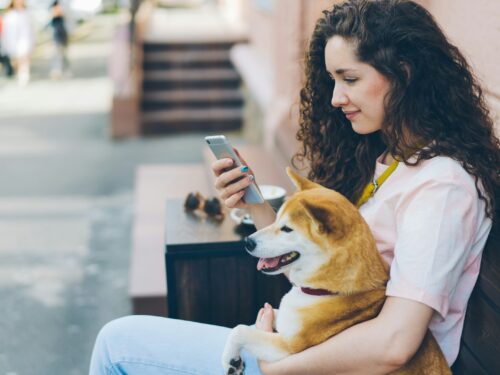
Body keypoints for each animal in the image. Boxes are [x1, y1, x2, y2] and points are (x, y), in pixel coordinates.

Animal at [222, 168, 450, 375]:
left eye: (287, 229)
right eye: (276, 220)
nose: (248, 242)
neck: (325, 291)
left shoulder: (289, 348)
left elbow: (240, 330)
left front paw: (229, 360)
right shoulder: (286, 322)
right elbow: (256, 321)